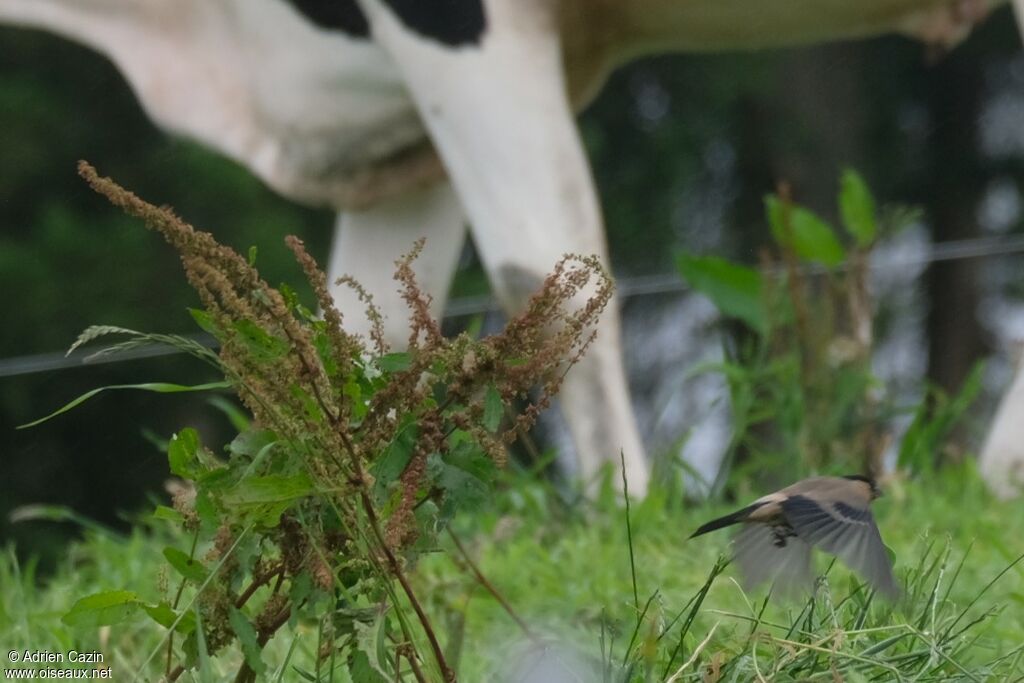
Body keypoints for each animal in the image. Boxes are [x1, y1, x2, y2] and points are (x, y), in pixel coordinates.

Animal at [4, 0, 1019, 493]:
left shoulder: (456, 25)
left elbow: (548, 270)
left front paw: (623, 506)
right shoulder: (395, 135)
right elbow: (352, 337)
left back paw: (998, 476)